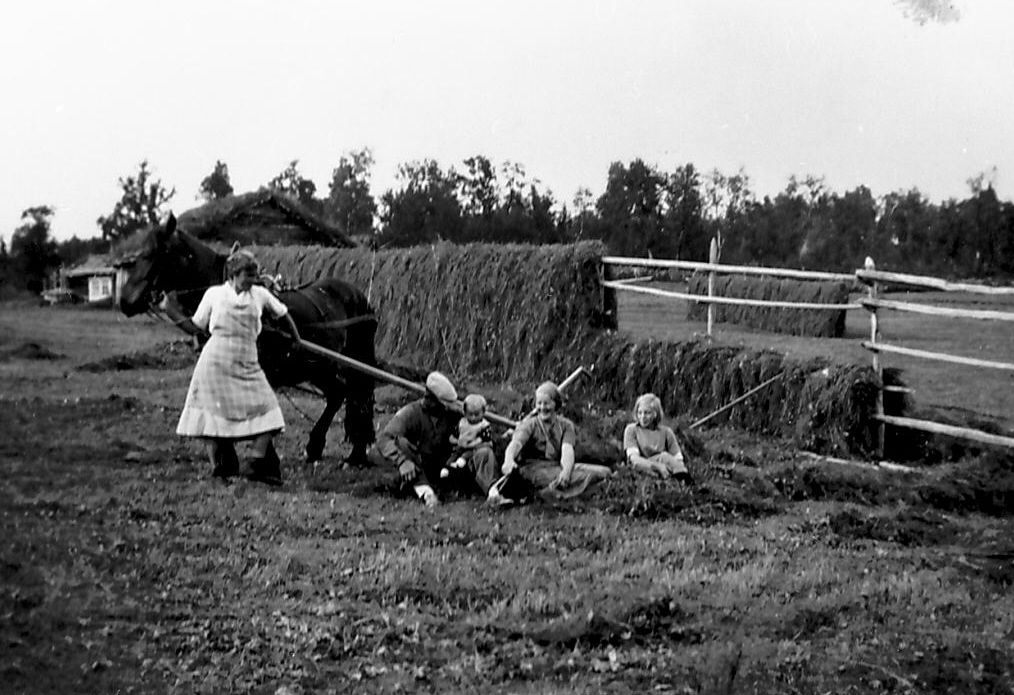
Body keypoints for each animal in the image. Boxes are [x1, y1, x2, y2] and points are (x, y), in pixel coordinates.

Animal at [118, 211, 379, 468]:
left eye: (152, 254)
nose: (124, 301)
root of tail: (358, 296)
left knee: (353, 395)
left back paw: (342, 451)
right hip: (317, 366)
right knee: (341, 394)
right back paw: (333, 449)